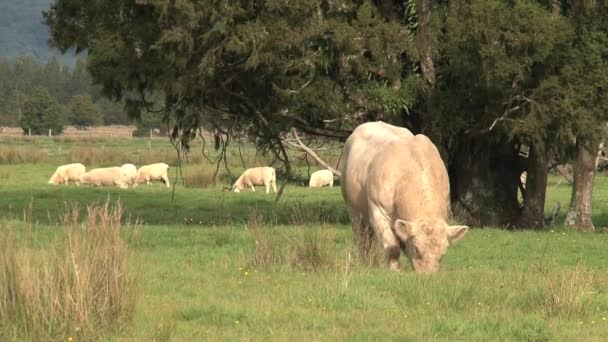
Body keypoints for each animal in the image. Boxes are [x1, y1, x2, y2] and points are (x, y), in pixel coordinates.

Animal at [340, 121, 468, 274]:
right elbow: (392, 247)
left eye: (442, 253)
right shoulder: (378, 210)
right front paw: (395, 270)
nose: (428, 274)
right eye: (417, 249)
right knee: (361, 238)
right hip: (353, 210)